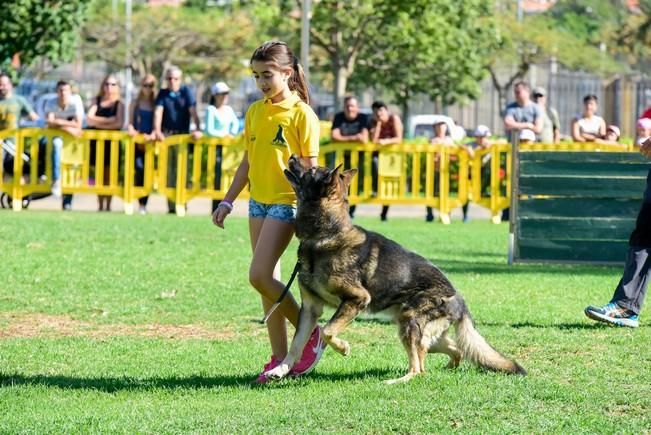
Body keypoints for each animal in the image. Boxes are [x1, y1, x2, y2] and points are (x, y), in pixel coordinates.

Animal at [262, 157, 528, 384]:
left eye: (312, 170)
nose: (292, 157)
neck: (325, 235)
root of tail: (459, 299)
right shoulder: (310, 309)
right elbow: (296, 344)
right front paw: (280, 370)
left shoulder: (357, 299)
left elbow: (327, 331)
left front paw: (342, 347)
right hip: (418, 331)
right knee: (453, 350)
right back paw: (447, 368)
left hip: (409, 322)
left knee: (420, 369)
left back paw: (396, 380)